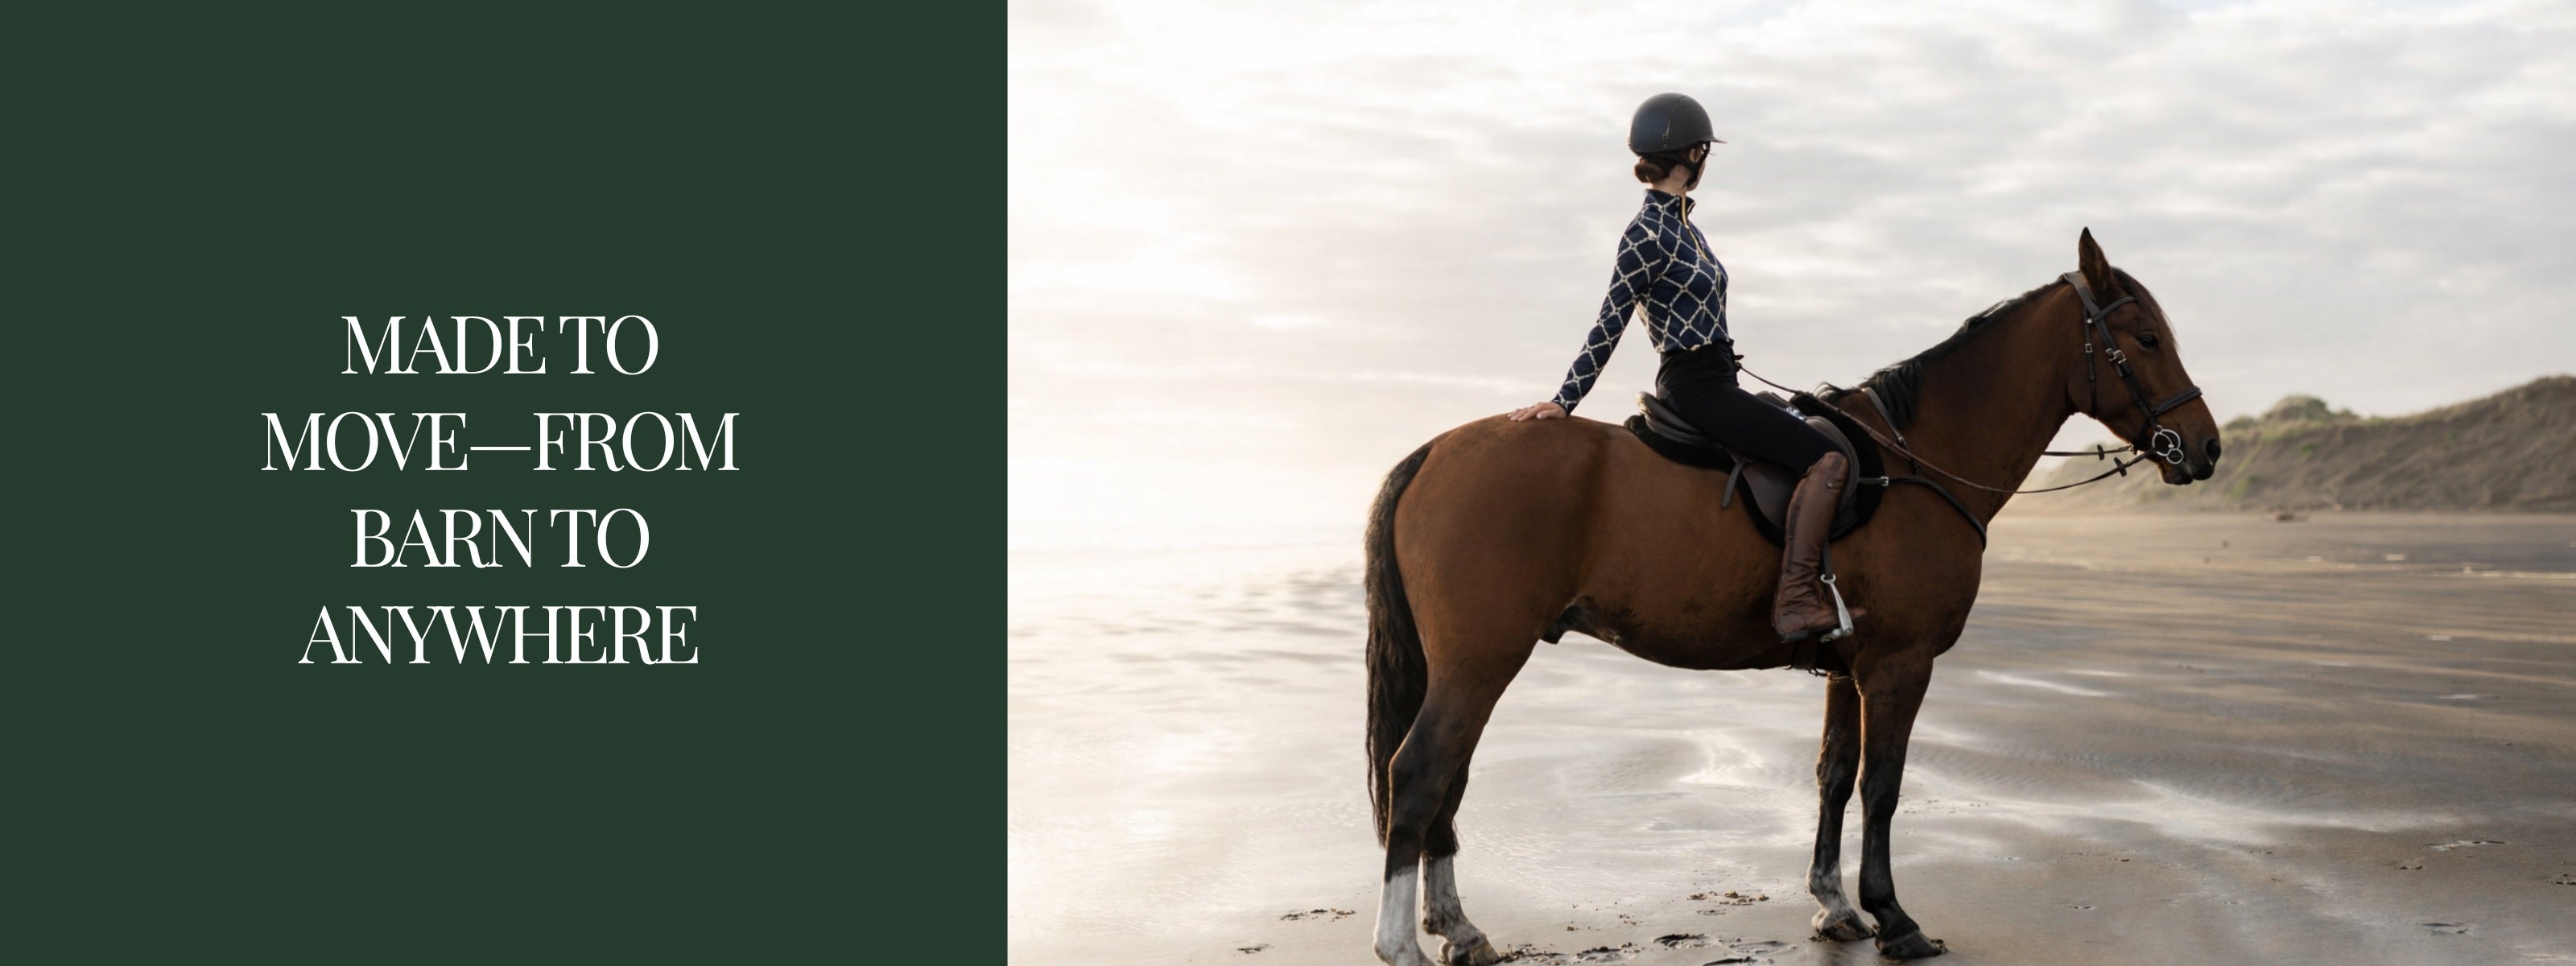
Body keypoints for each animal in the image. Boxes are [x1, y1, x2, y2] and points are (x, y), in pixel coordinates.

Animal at [1362, 229, 2221, 964]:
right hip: (1480, 663)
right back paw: (1402, 942)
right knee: (1421, 772)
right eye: (2147, 337)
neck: (1918, 462)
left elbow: (1834, 776)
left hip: (1469, 667)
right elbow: (1883, 786)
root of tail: (1435, 451)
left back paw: (1458, 927)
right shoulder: (1900, 665)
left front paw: (1835, 905)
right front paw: (1894, 917)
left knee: (1447, 777)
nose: (2206, 447)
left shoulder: (1849, 668)